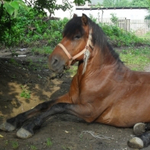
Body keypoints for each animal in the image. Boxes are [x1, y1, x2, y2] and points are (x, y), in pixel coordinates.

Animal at [0, 13, 150, 149]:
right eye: (63, 34)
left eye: (77, 36)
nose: (53, 61)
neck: (99, 75)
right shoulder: (71, 97)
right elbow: (43, 105)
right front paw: (13, 121)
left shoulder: (89, 111)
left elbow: (57, 107)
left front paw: (28, 127)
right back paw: (140, 127)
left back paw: (139, 139)